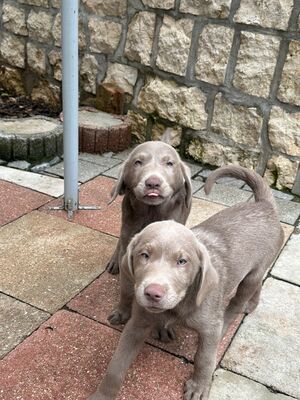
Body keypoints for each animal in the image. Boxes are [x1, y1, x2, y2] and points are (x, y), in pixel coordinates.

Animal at [88, 164, 284, 398]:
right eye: (144, 255)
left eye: (182, 261)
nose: (153, 293)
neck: (178, 306)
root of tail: (265, 205)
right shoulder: (137, 323)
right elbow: (116, 365)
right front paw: (102, 395)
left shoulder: (209, 329)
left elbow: (204, 358)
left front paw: (199, 386)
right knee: (258, 284)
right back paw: (251, 304)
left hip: (252, 274)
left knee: (237, 302)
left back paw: (232, 318)